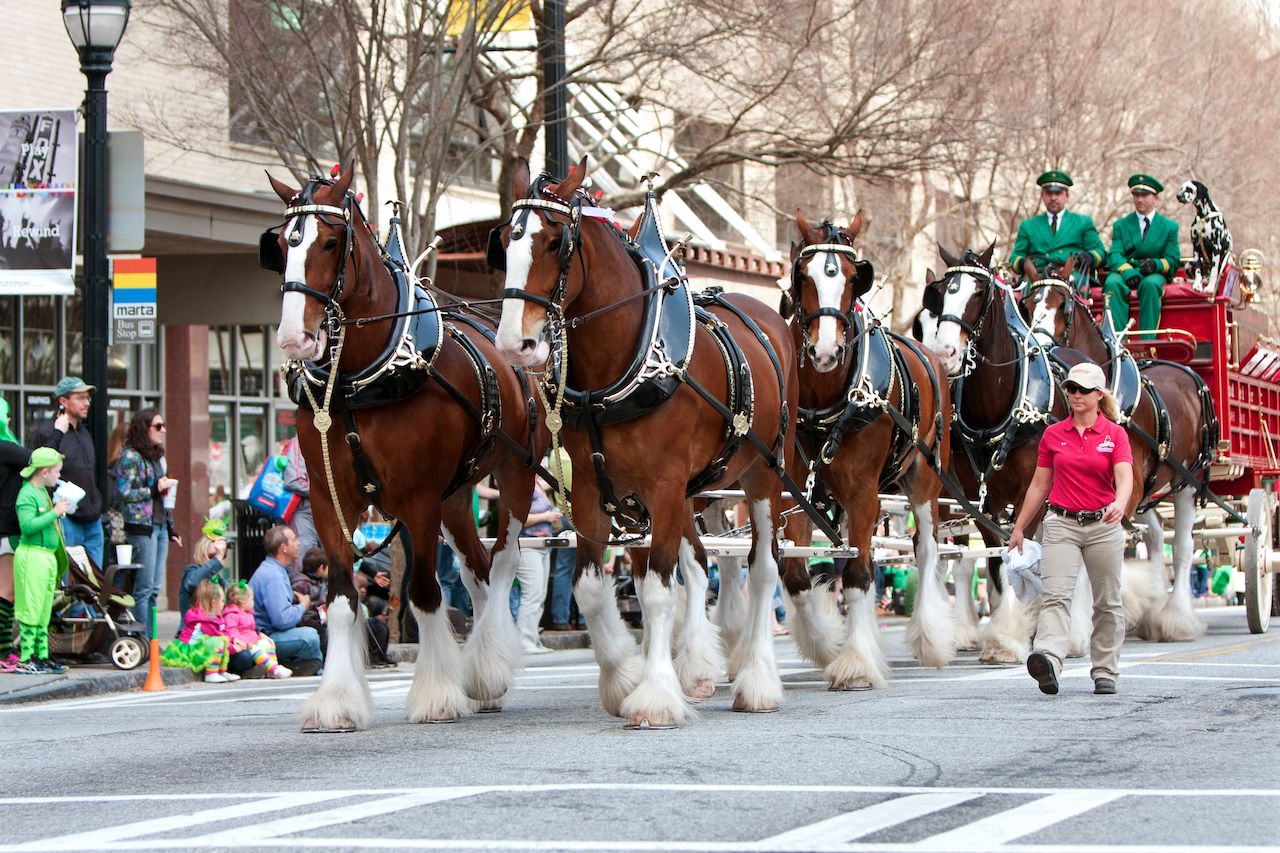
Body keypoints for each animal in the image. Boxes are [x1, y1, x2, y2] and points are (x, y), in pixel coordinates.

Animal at [264, 169, 545, 727]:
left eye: (330, 242)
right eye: (282, 245)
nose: (294, 338)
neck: (361, 380)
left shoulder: (417, 498)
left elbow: (423, 592)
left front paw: (436, 695)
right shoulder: (330, 498)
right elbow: (342, 597)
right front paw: (337, 701)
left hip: (515, 475)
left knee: (502, 563)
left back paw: (485, 671)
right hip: (456, 498)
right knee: (477, 572)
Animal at [491, 156, 798, 722]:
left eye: (555, 243)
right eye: (504, 240)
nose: (513, 343)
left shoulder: (663, 484)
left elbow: (656, 592)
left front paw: (654, 694)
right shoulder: (595, 491)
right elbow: (593, 589)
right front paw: (623, 678)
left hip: (763, 473)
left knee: (763, 569)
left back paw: (757, 682)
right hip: (690, 494)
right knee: (698, 566)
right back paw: (697, 669)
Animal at [773, 212, 957, 686]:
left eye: (856, 278)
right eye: (802, 275)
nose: (825, 351)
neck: (826, 401)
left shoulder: (863, 494)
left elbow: (857, 573)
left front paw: (855, 661)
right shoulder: (796, 492)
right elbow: (796, 574)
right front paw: (825, 645)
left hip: (924, 481)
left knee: (926, 550)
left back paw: (929, 637)